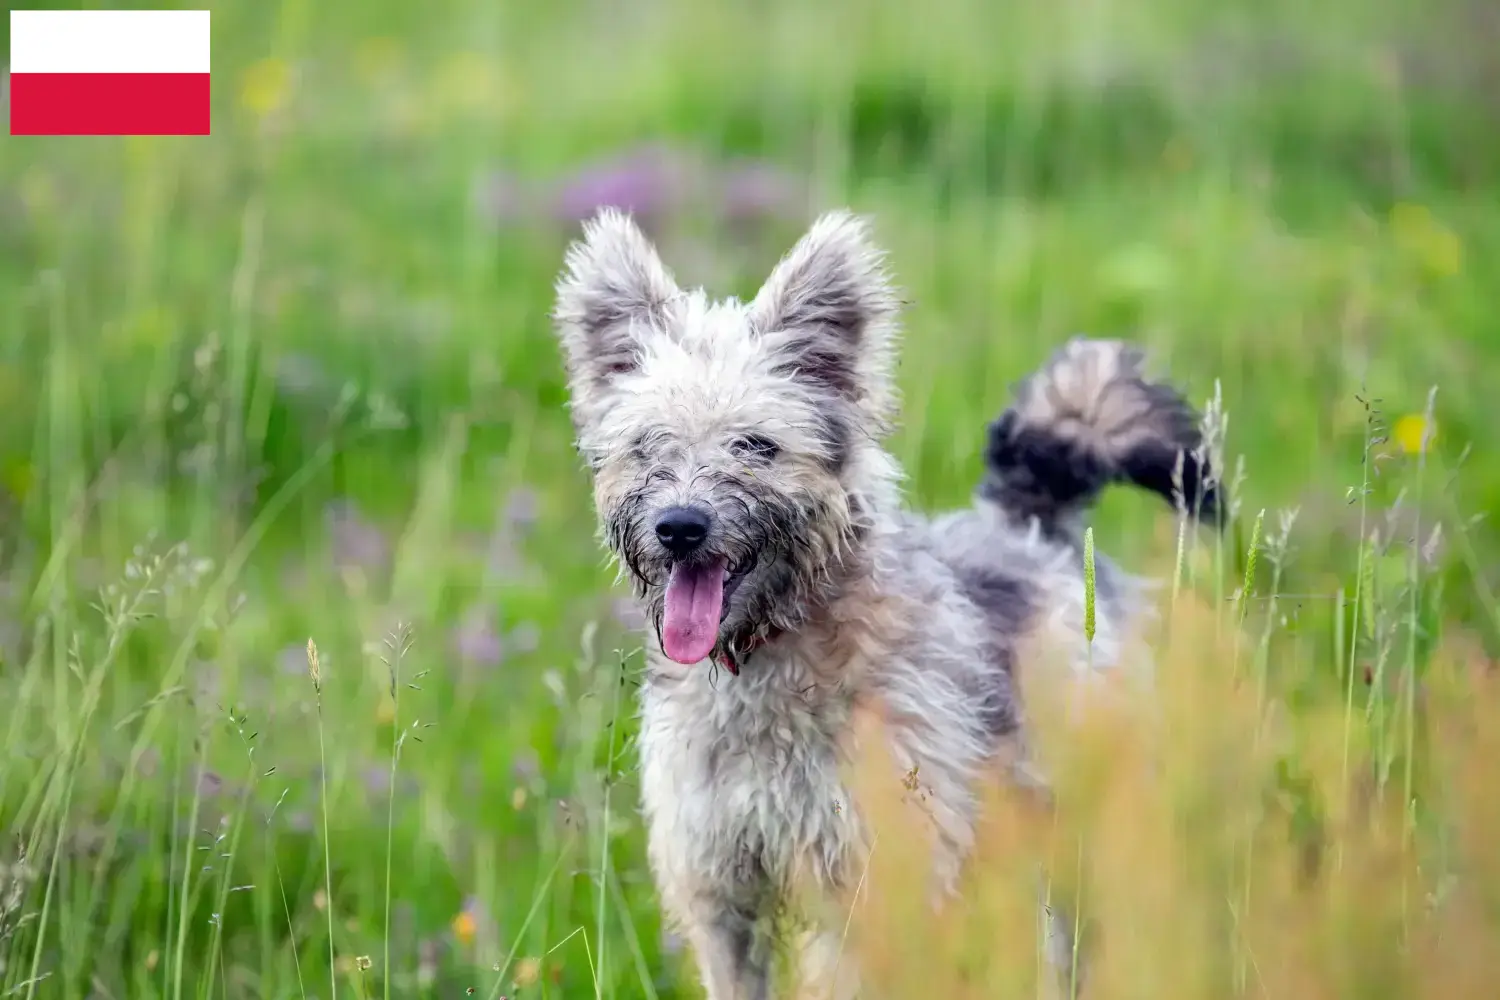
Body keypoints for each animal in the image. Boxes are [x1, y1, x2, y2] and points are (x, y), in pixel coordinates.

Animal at [552, 206, 1218, 995]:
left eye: (756, 445)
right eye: (647, 445)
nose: (680, 527)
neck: (771, 667)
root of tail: (1029, 521)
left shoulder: (863, 885)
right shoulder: (722, 894)